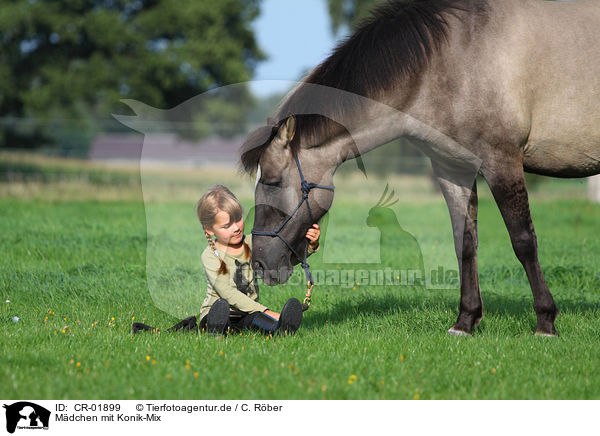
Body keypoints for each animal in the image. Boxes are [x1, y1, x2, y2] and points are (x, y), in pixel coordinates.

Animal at [239, 0, 600, 338]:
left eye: (272, 181)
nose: (259, 263)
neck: (454, 58)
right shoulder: (452, 169)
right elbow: (464, 243)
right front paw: (465, 321)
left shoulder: (502, 162)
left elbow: (523, 240)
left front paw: (545, 321)